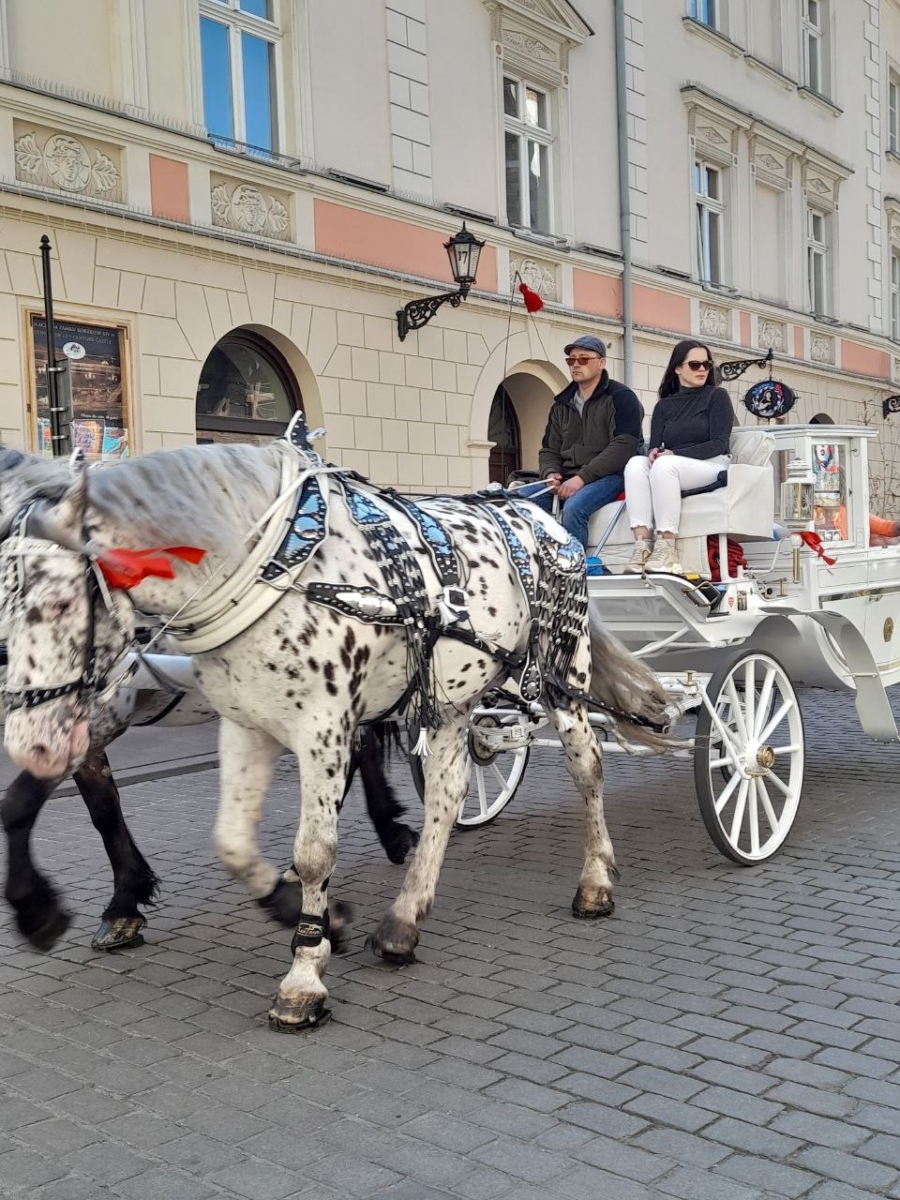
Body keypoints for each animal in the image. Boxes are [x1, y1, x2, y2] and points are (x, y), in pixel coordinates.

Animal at [0, 420, 672, 1032]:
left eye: (60, 603)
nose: (26, 740)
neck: (267, 569)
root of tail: (538, 512)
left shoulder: (318, 725)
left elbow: (316, 848)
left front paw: (302, 976)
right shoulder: (243, 724)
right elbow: (227, 841)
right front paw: (302, 913)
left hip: (560, 673)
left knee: (586, 767)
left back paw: (594, 882)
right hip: (453, 696)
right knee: (447, 793)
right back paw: (403, 919)